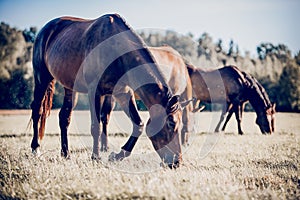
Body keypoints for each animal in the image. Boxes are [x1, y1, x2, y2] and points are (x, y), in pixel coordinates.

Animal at [31, 13, 184, 168]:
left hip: (69, 87)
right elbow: (96, 127)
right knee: (37, 110)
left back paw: (65, 153)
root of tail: (44, 30)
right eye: (171, 123)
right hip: (41, 78)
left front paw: (117, 155)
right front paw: (96, 157)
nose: (177, 162)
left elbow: (138, 124)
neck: (117, 51)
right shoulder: (94, 92)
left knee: (64, 117)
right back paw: (35, 149)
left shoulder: (123, 93)